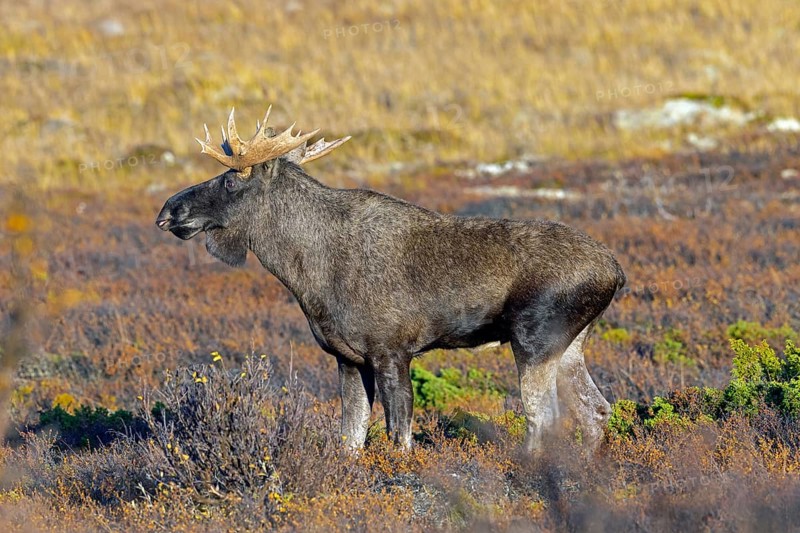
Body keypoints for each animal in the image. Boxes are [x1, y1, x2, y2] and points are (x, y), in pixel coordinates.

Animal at [155, 106, 626, 453]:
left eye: (232, 178)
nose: (168, 211)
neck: (306, 273)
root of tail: (616, 273)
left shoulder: (391, 351)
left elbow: (399, 436)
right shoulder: (348, 356)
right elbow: (351, 438)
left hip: (535, 340)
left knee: (543, 418)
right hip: (570, 346)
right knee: (596, 410)